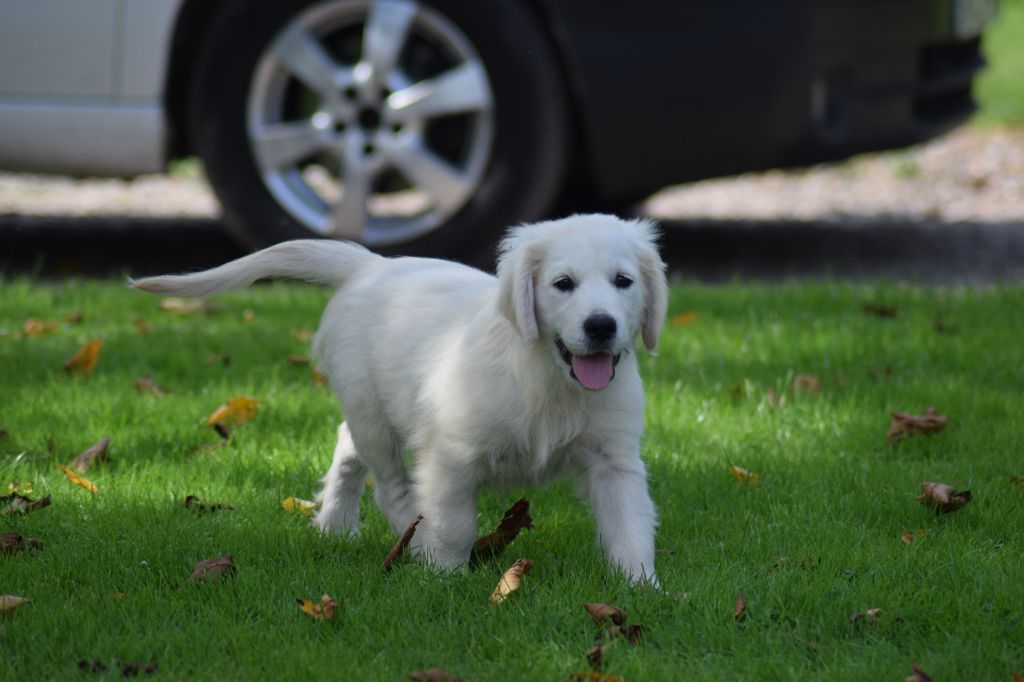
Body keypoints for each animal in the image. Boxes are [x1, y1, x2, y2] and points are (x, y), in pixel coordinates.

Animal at [132, 215, 667, 581]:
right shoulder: (451, 455)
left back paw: (335, 523)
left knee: (346, 446)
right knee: (389, 485)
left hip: (371, 411)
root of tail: (371, 265)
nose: (601, 326)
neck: (550, 380)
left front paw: (640, 587)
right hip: (372, 411)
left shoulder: (614, 459)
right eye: (563, 284)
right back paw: (407, 535)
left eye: (623, 281)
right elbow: (454, 523)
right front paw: (445, 574)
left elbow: (630, 522)